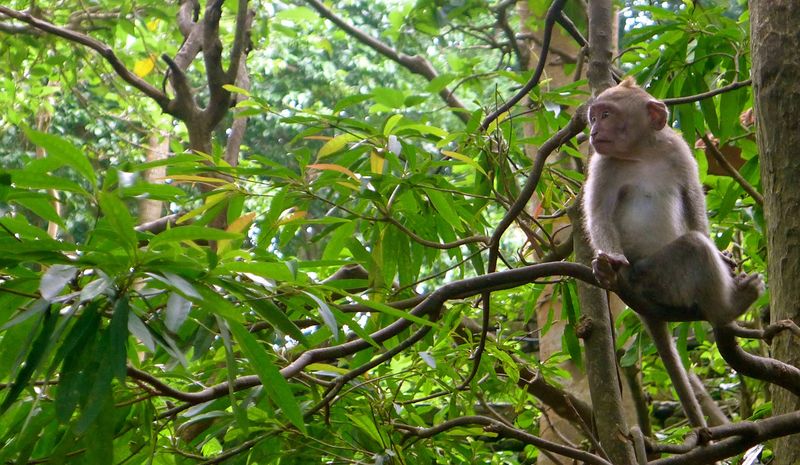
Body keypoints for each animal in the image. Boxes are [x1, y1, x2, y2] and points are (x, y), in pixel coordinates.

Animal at [582, 77, 764, 428]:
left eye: (606, 115)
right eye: (594, 117)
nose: (594, 131)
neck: (642, 153)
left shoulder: (677, 151)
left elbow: (692, 200)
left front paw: (723, 257)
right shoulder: (602, 164)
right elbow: (599, 215)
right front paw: (607, 264)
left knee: (695, 241)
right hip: (653, 277)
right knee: (692, 248)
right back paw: (729, 307)